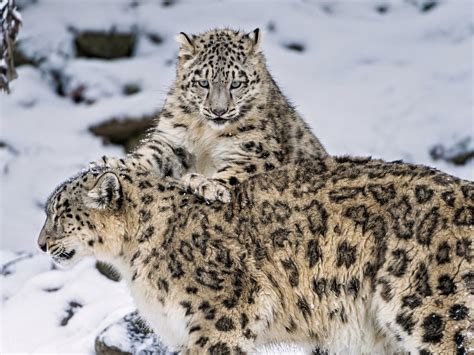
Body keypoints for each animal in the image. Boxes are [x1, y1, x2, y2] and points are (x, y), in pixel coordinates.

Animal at [92, 28, 326, 203]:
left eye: (236, 83)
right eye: (203, 83)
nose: (218, 111)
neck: (205, 132)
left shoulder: (256, 151)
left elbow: (238, 171)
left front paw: (207, 185)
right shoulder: (174, 140)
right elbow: (150, 155)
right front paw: (113, 162)